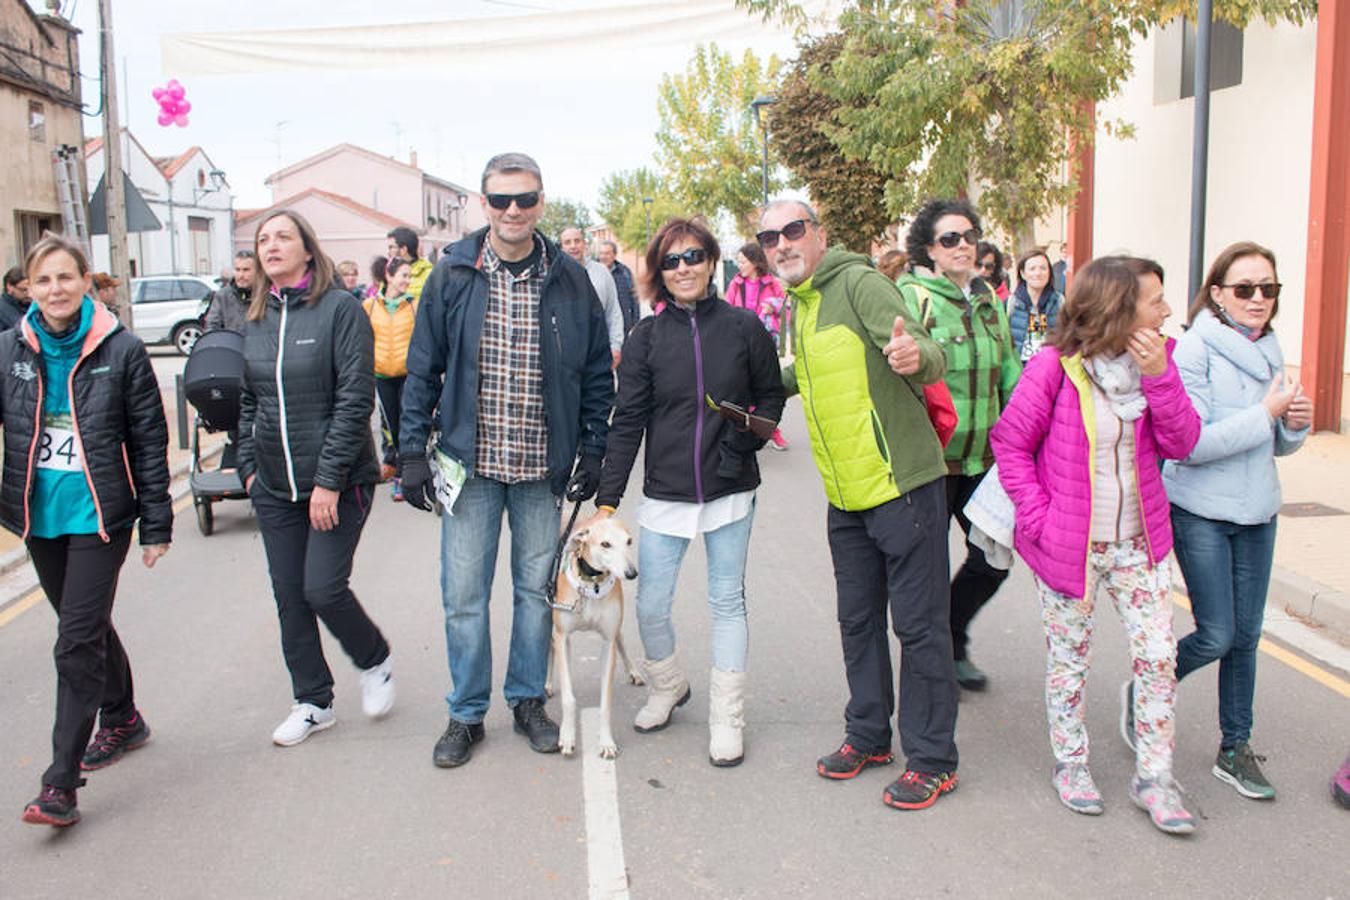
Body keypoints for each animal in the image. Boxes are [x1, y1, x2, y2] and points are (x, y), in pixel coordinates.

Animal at [548, 512, 642, 761]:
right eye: (605, 544)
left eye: (629, 541)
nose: (631, 573)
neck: (591, 585)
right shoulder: (563, 636)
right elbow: (569, 698)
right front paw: (567, 738)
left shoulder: (608, 641)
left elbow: (605, 703)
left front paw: (606, 742)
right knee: (549, 646)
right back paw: (547, 683)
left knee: (622, 641)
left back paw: (634, 672)